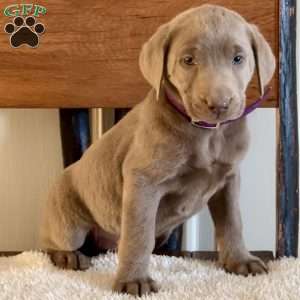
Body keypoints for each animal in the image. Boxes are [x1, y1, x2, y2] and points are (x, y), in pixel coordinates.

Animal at [39, 4, 274, 298]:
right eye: (188, 60)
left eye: (238, 58)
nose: (219, 104)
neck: (206, 133)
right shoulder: (143, 181)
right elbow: (139, 234)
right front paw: (134, 280)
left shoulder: (229, 179)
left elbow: (233, 221)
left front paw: (241, 260)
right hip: (67, 220)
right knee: (51, 243)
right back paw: (67, 256)